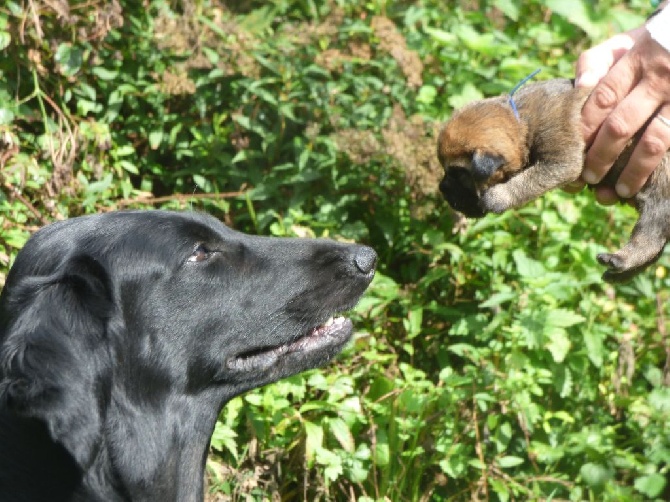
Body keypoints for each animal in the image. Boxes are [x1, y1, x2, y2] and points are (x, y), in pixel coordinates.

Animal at [438, 78, 670, 282]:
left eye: (459, 173)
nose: (442, 189)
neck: (521, 120)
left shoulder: (561, 156)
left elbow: (528, 180)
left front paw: (498, 197)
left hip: (659, 198)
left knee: (649, 237)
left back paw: (619, 260)